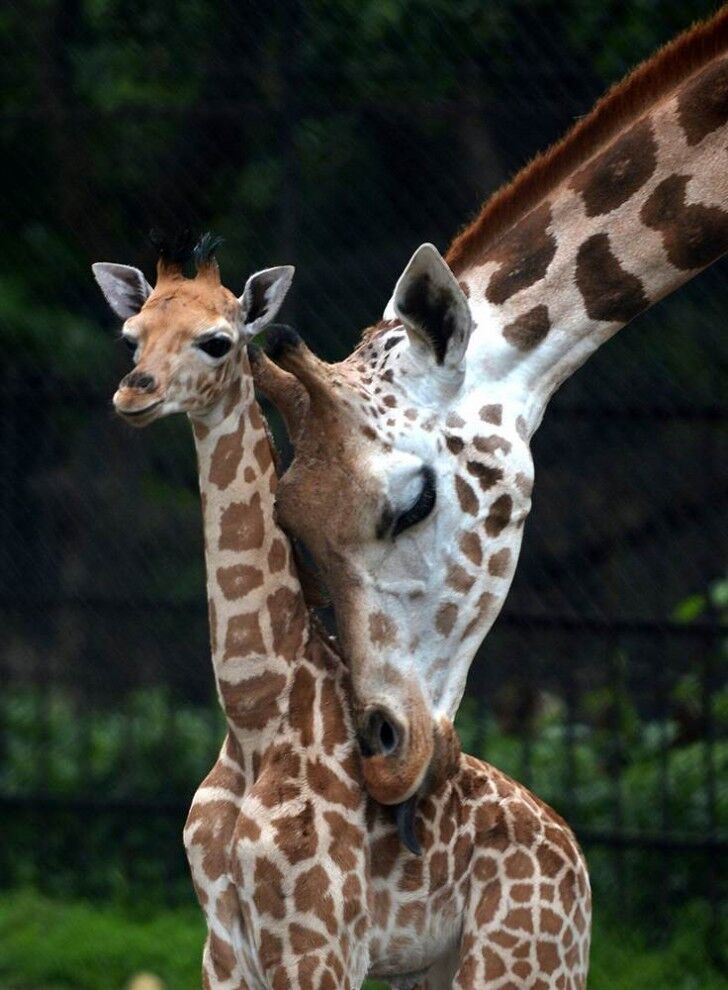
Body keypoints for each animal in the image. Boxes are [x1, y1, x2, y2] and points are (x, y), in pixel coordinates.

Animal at [92, 238, 592, 990]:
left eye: (217, 340)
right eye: (132, 335)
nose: (135, 392)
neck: (255, 716)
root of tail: (581, 866)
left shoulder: (317, 944)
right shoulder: (223, 949)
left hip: (521, 961)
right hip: (433, 968)